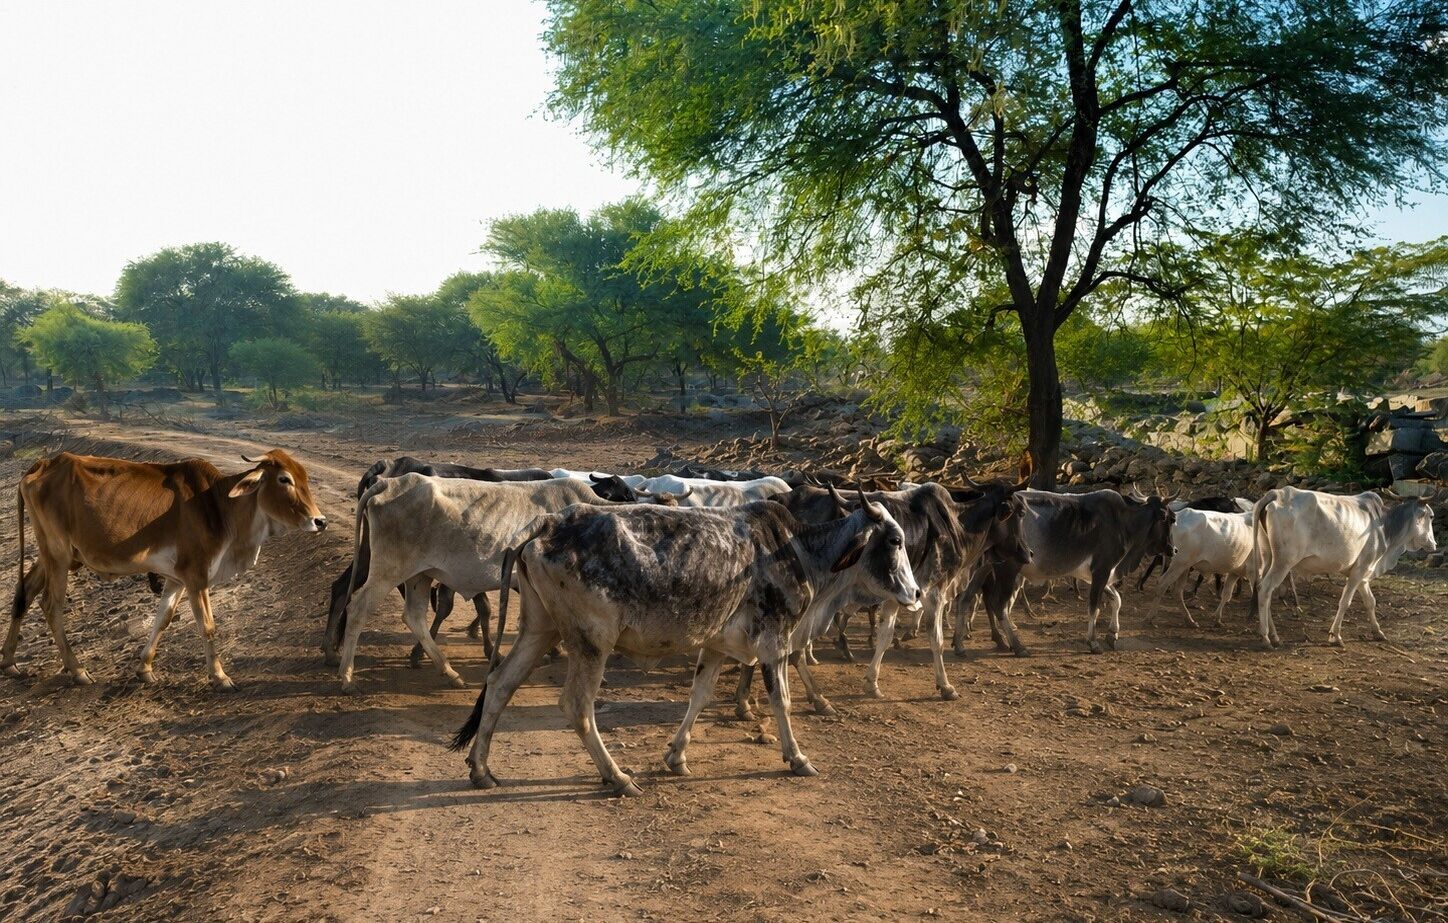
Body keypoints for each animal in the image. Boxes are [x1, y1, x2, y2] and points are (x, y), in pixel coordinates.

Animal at [3, 450, 325, 688]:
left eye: (304, 478)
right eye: (284, 479)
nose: (319, 521)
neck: (218, 507)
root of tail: (45, 464)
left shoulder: (177, 579)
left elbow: (163, 619)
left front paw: (145, 668)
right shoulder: (196, 576)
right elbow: (207, 625)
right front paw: (220, 676)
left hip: (55, 556)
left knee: (24, 592)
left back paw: (9, 661)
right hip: (57, 554)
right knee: (50, 605)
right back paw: (77, 670)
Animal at [336, 475, 632, 693]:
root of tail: (389, 482)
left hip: (420, 574)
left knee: (414, 616)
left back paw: (449, 672)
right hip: (389, 570)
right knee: (358, 609)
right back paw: (347, 677)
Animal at [449, 494, 921, 796]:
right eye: (895, 541)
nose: (916, 592)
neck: (797, 550)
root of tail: (545, 524)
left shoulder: (715, 644)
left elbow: (699, 695)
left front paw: (676, 755)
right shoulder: (774, 641)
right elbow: (782, 701)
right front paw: (798, 758)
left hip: (539, 627)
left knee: (500, 684)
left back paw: (481, 769)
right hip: (591, 641)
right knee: (576, 706)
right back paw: (618, 778)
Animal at [976, 488, 1176, 654]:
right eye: (1168, 518)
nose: (1173, 550)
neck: (1122, 521)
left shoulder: (1094, 574)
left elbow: (1116, 600)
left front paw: (1112, 634)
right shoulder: (1102, 569)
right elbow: (1094, 607)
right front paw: (1093, 642)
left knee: (986, 599)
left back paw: (1000, 640)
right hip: (1008, 569)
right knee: (998, 604)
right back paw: (1017, 646)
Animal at [1253, 487, 1438, 647]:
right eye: (1431, 516)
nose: (1434, 544)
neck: (1385, 526)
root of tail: (1278, 493)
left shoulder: (1363, 574)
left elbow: (1370, 601)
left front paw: (1378, 632)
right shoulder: (1360, 569)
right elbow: (1345, 602)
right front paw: (1335, 636)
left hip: (1268, 557)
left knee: (1265, 590)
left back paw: (1274, 636)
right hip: (1283, 562)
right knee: (1265, 589)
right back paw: (1266, 637)